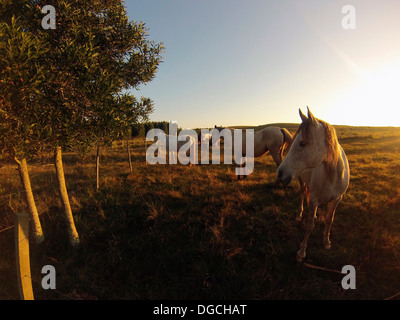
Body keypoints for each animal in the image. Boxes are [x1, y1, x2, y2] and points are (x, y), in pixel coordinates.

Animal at [278, 107, 350, 262]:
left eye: (302, 143)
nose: (280, 174)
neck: (332, 176)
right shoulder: (314, 200)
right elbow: (309, 226)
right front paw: (301, 251)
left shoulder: (337, 199)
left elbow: (329, 219)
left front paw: (326, 241)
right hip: (300, 179)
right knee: (303, 194)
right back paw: (299, 214)